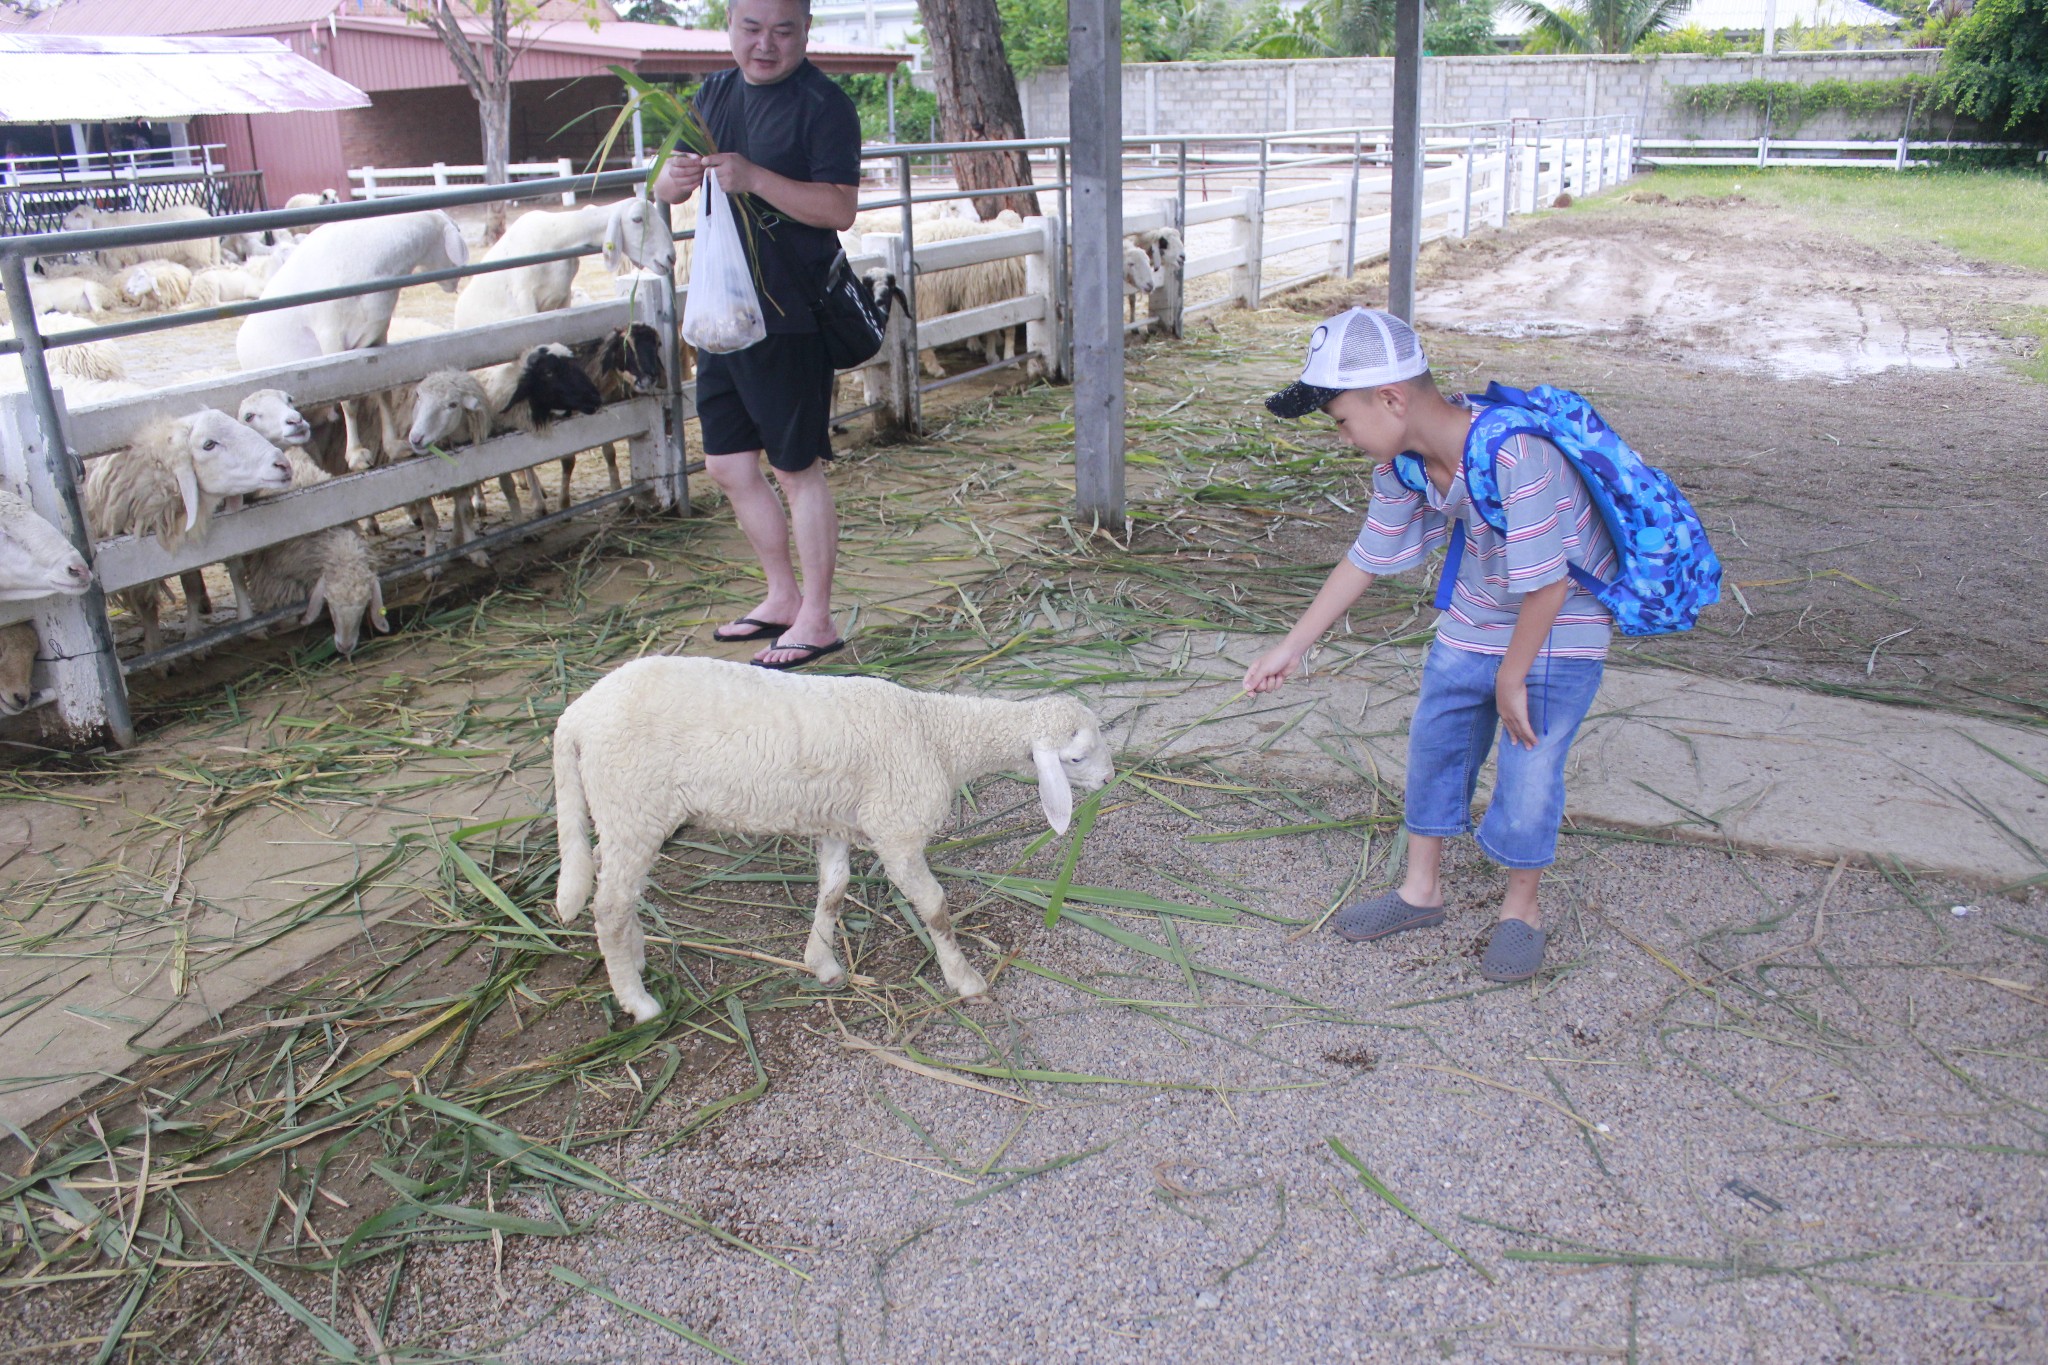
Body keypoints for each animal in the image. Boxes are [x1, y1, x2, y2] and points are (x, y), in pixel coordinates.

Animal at [552, 658, 1114, 1023]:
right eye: (1076, 758)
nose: (1110, 779)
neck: (936, 733)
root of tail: (573, 717)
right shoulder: (897, 829)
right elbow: (934, 908)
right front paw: (965, 979)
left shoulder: (836, 823)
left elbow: (834, 891)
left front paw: (821, 963)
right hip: (633, 800)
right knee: (608, 906)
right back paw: (638, 1001)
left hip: (625, 812)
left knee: (608, 875)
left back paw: (635, 957)